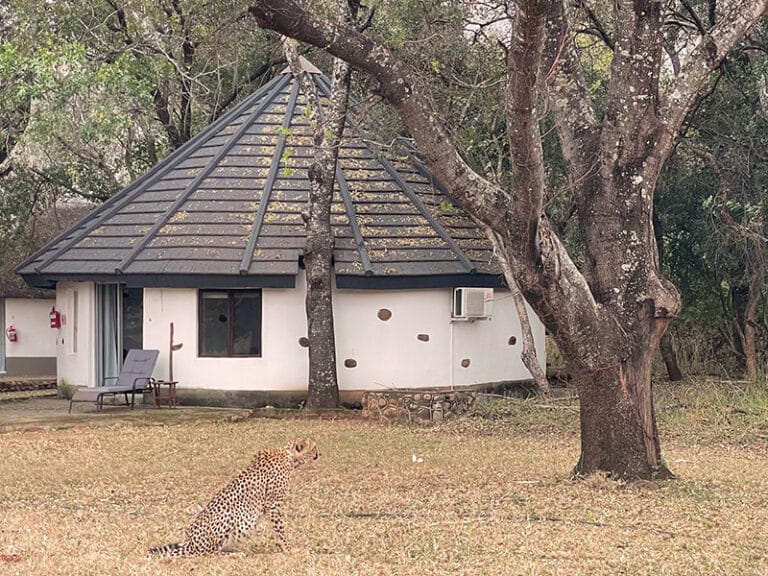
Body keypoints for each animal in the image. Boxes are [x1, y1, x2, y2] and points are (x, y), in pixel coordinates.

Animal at [148, 438, 319, 557]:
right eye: (314, 448)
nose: (319, 453)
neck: (289, 458)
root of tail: (190, 543)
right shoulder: (273, 504)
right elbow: (280, 530)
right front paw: (288, 549)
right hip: (230, 516)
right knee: (209, 553)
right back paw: (235, 554)